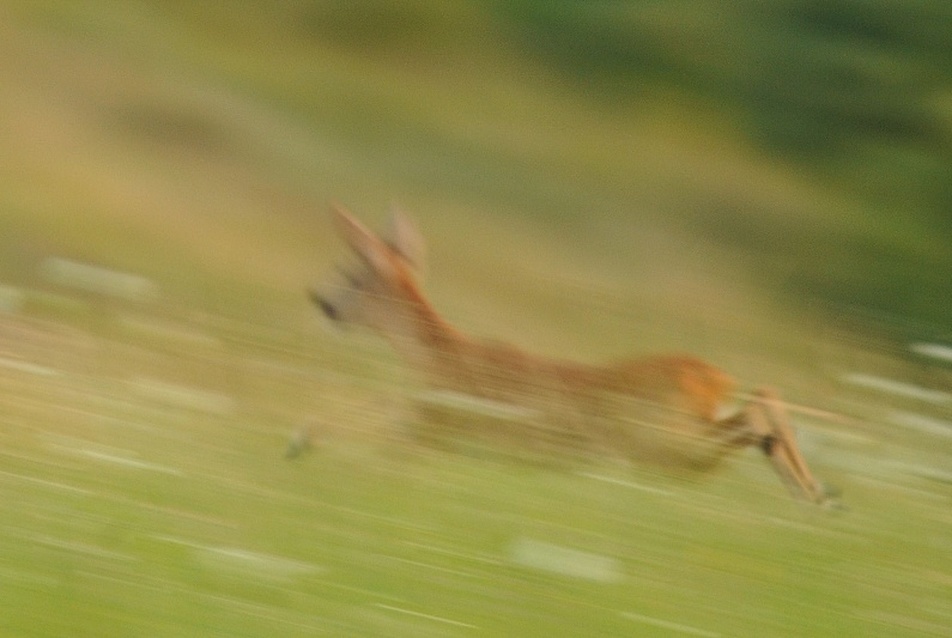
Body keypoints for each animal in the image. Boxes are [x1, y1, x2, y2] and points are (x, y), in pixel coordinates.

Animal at [312, 205, 832, 504]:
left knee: (757, 410)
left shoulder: (433, 431)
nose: (321, 302)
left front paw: (308, 441)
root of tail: (715, 379)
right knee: (760, 403)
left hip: (664, 441)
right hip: (674, 456)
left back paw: (812, 491)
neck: (439, 356)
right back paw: (816, 491)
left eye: (351, 274)